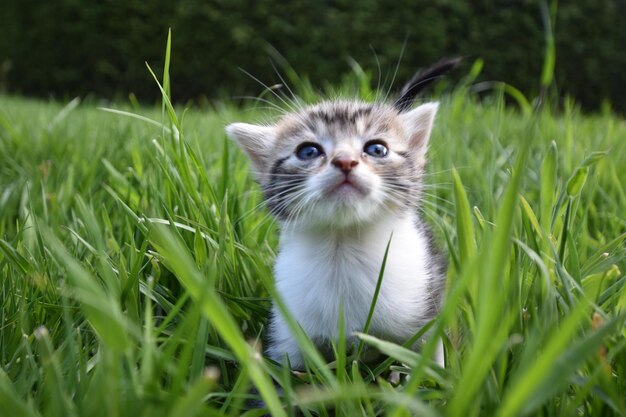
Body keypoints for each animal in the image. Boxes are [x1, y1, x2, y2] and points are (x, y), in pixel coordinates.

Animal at [224, 60, 454, 368]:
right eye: (308, 151)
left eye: (377, 148)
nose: (345, 161)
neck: (343, 247)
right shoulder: (288, 333)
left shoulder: (425, 313)